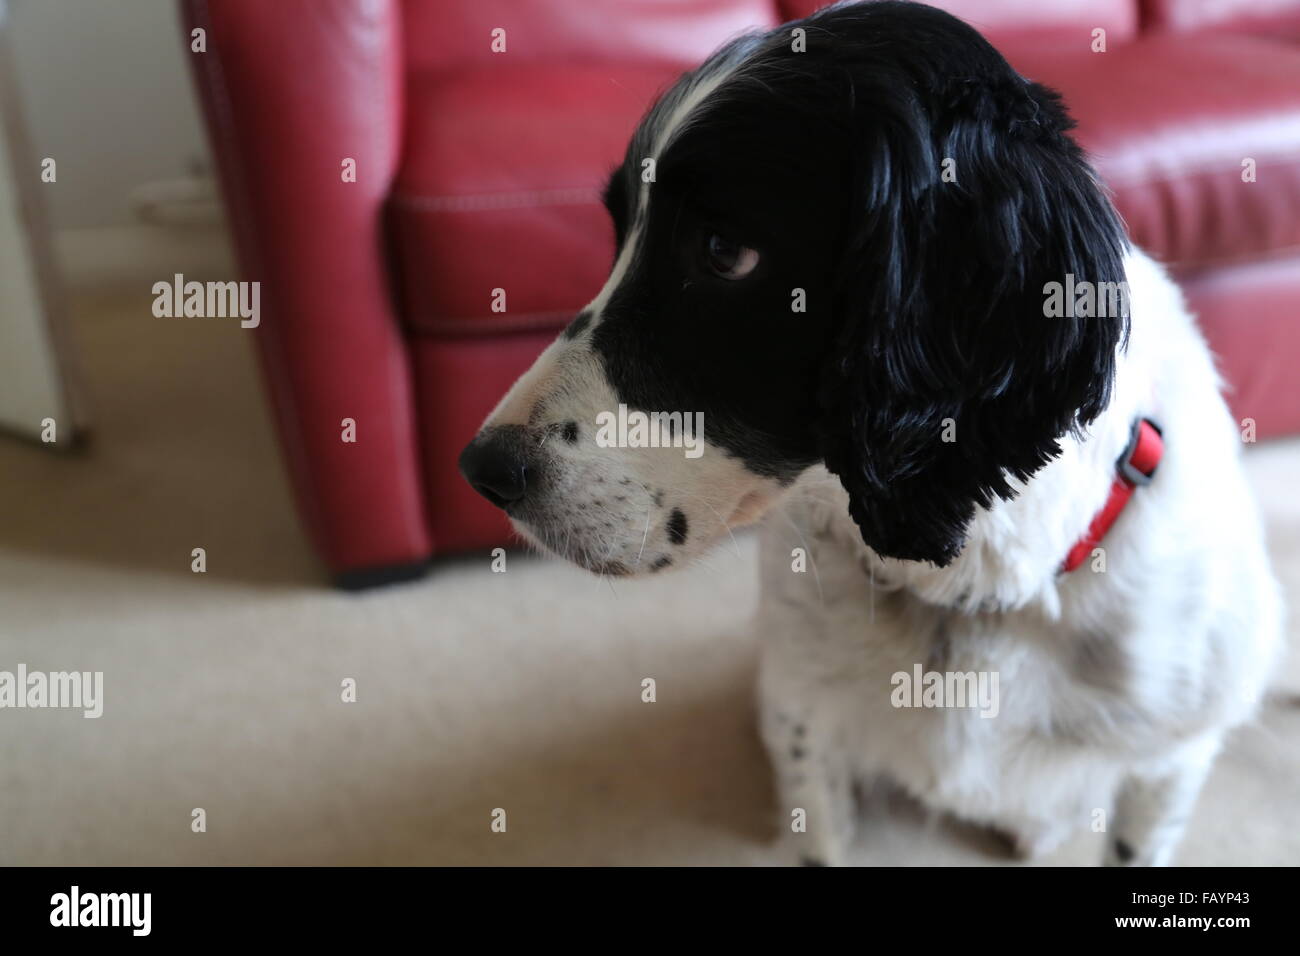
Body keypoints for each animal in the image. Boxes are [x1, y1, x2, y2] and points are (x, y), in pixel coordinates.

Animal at [457, 0, 1279, 868]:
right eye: (620, 235)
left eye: (724, 252)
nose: (482, 470)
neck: (969, 582)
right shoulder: (802, 716)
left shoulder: (1169, 764)